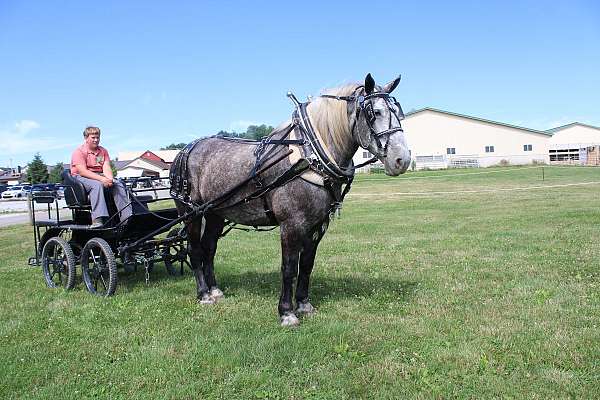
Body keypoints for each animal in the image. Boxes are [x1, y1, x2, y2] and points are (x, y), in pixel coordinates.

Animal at [173, 73, 408, 326]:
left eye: (398, 111)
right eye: (375, 112)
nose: (402, 159)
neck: (308, 157)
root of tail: (185, 150)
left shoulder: (317, 225)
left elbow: (306, 265)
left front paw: (304, 304)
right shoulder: (291, 225)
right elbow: (288, 268)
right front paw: (286, 312)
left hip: (215, 213)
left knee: (209, 247)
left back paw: (215, 289)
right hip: (191, 212)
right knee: (195, 250)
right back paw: (203, 294)